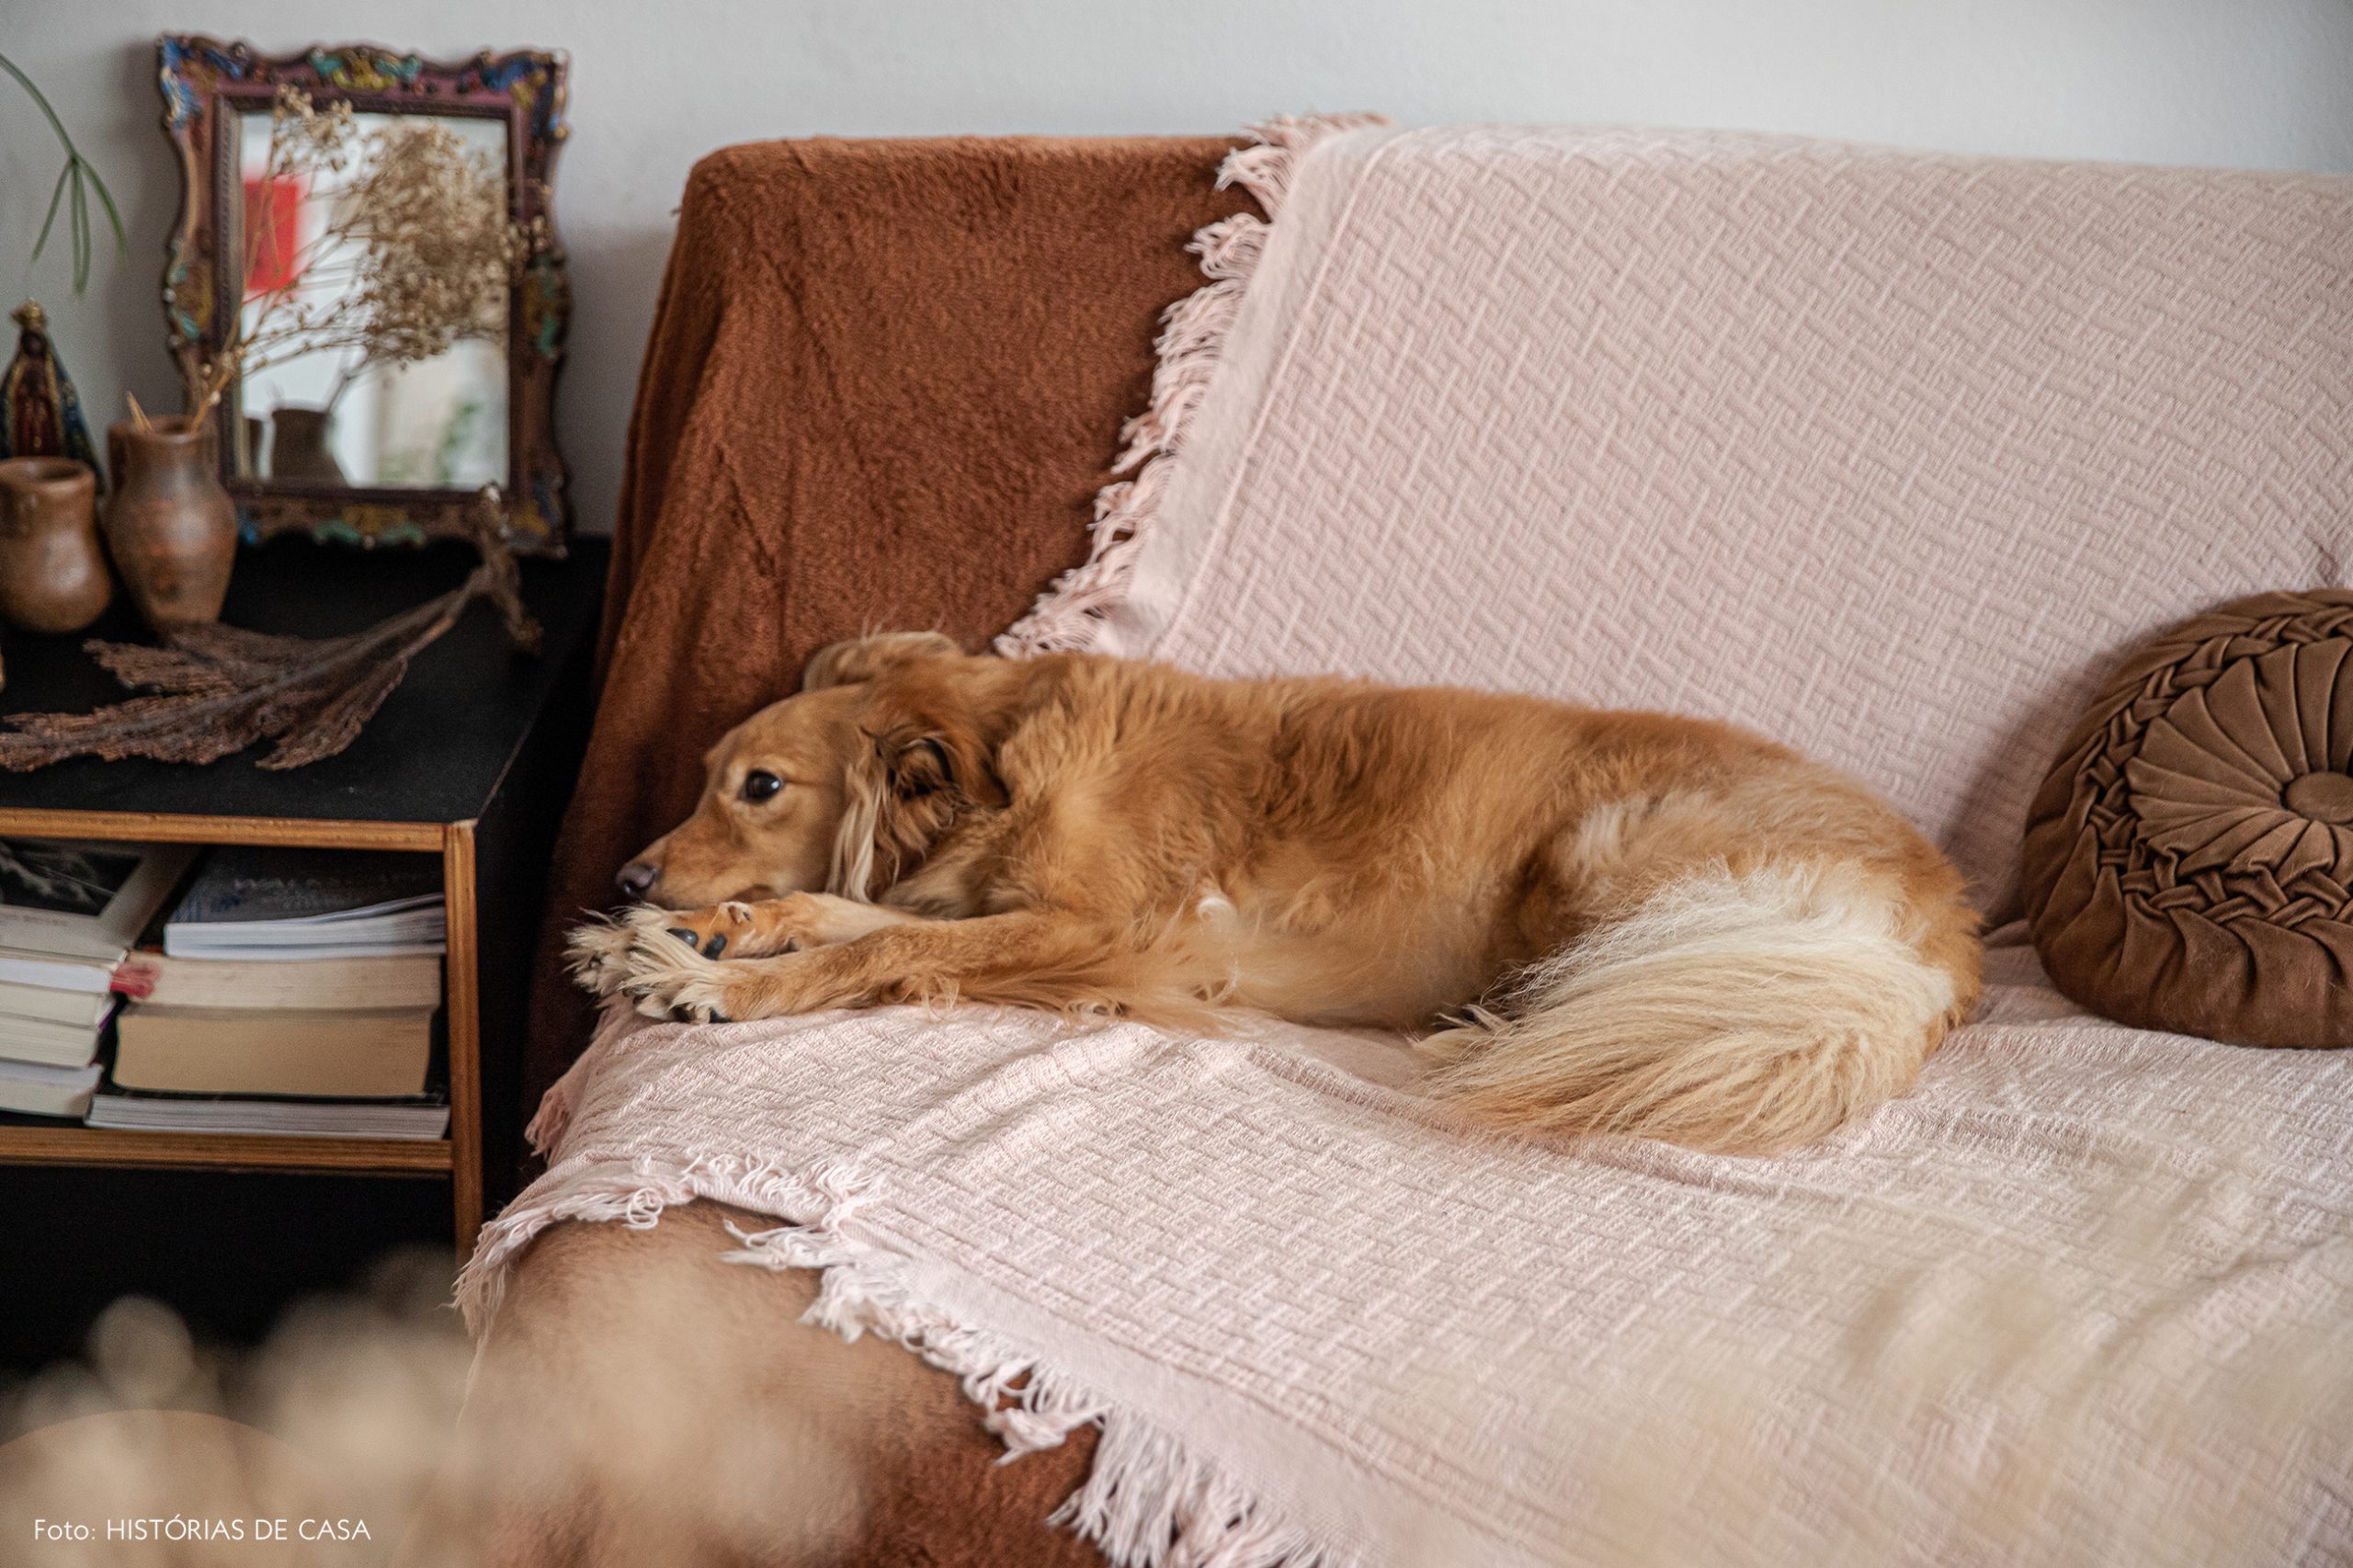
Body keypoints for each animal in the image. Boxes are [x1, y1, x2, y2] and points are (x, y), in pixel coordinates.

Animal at [578, 631, 1976, 1153]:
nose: (629, 870)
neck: (1004, 760)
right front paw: (689, 930)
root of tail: (1936, 920)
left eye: (759, 785)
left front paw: (709, 975)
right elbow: (846, 916)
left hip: (1614, 854)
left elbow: (869, 950)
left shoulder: (1110, 933)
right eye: (706, 776)